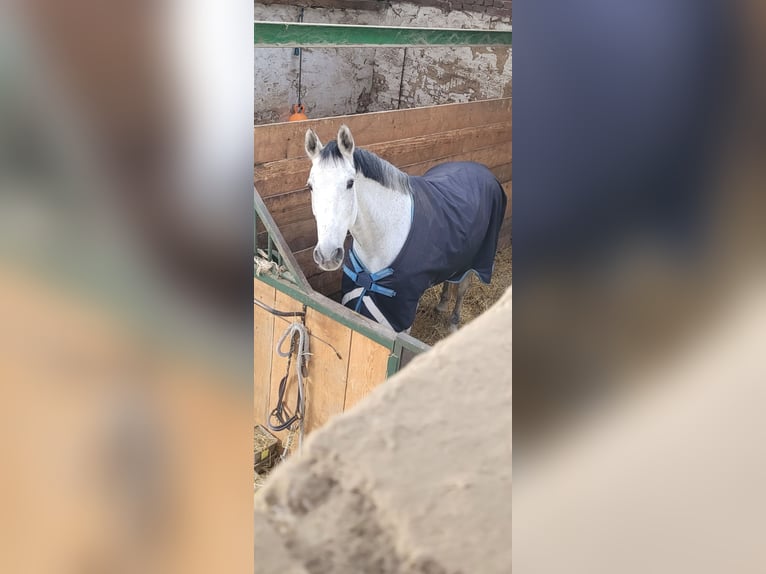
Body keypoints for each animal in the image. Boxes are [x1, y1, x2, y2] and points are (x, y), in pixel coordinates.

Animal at [304, 124, 507, 334]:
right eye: (310, 186)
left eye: (350, 183)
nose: (327, 255)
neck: (382, 239)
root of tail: (481, 170)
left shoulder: (401, 312)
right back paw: (442, 304)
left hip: (474, 260)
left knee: (462, 288)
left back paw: (453, 324)